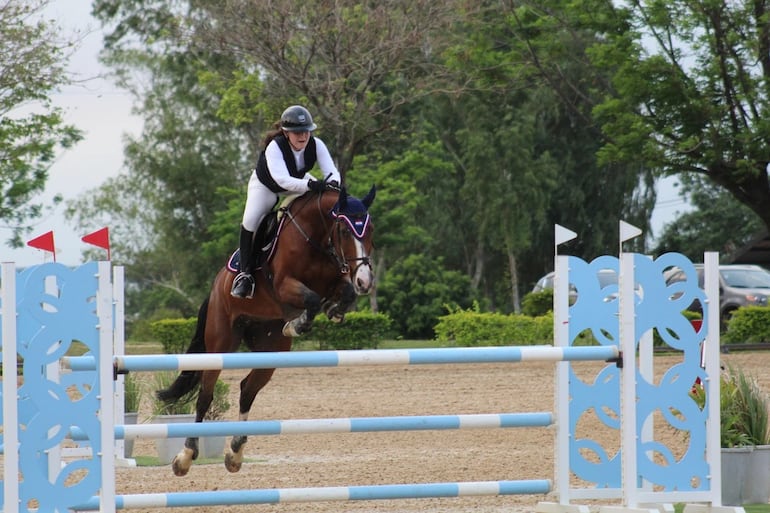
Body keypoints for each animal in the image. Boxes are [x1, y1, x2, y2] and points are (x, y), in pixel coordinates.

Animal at [155, 185, 372, 476]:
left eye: (370, 230)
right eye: (345, 230)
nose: (365, 281)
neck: (315, 237)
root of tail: (216, 286)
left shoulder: (335, 280)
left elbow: (343, 293)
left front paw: (333, 310)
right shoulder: (284, 285)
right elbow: (312, 299)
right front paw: (298, 323)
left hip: (270, 349)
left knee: (247, 388)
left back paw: (236, 453)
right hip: (220, 342)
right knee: (205, 395)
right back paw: (185, 456)